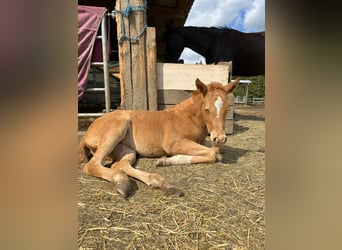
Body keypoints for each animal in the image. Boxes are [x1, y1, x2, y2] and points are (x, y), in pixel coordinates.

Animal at [78, 78, 239, 197]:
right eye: (207, 109)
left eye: (227, 109)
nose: (220, 138)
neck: (187, 118)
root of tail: (88, 131)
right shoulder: (174, 144)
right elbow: (213, 154)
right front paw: (166, 160)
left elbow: (217, 151)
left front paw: (164, 161)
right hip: (116, 130)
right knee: (92, 165)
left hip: (127, 150)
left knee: (120, 165)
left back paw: (155, 183)